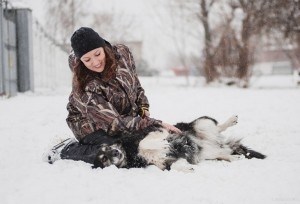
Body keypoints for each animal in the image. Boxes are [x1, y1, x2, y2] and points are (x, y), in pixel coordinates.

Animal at [93, 115, 264, 170]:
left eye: (107, 148)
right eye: (104, 158)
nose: (115, 152)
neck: (130, 153)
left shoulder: (153, 131)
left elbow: (144, 143)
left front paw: (162, 144)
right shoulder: (163, 163)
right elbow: (174, 166)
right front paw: (187, 168)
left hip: (200, 125)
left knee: (217, 127)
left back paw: (230, 121)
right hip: (210, 154)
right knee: (225, 153)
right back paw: (235, 157)